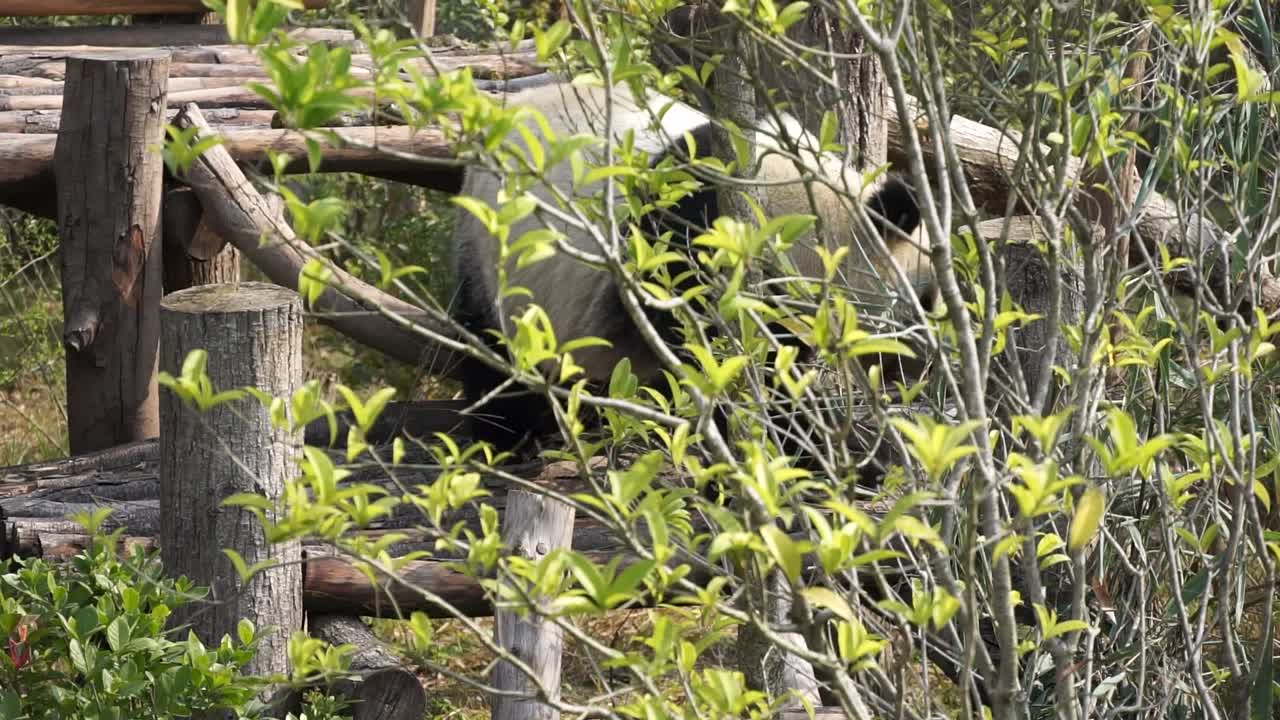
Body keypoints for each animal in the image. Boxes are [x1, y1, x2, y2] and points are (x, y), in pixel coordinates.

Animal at [449, 77, 932, 455]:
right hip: (495, 246)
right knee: (493, 338)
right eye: (925, 299)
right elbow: (714, 356)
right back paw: (510, 435)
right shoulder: (695, 240)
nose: (927, 364)